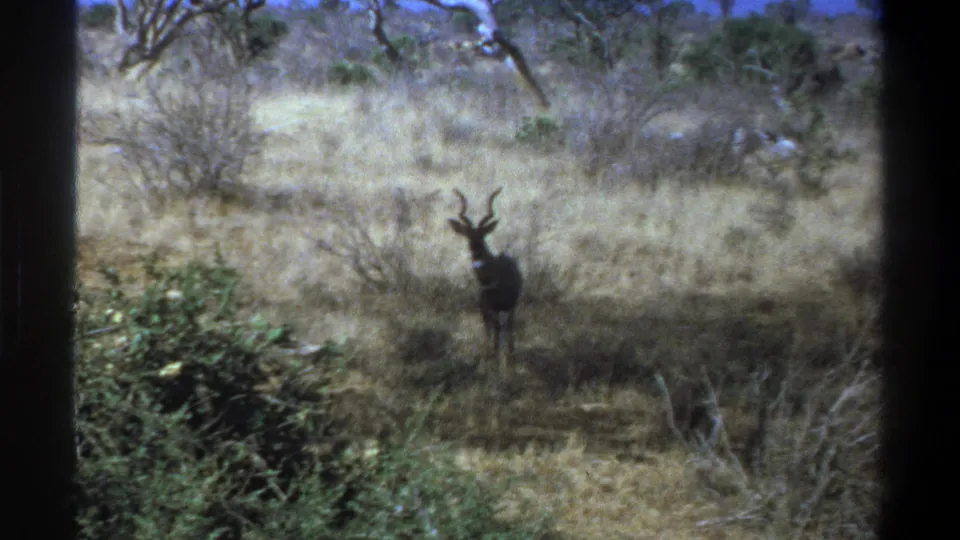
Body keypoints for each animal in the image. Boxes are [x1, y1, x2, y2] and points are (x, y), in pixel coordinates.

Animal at [448, 187, 523, 375]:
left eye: (482, 235)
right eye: (467, 235)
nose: (475, 253)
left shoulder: (507, 307)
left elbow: (502, 334)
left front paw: (505, 364)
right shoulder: (487, 308)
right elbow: (491, 335)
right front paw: (490, 362)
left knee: (506, 330)